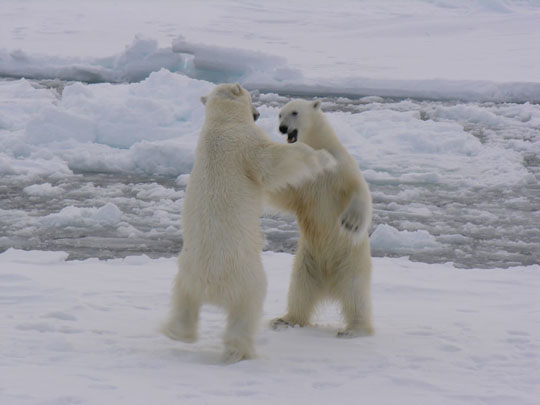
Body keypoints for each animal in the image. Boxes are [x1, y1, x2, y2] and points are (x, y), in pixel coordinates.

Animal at [161, 83, 338, 362]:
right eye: (251, 98)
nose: (257, 113)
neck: (221, 124)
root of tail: (211, 286)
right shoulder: (245, 143)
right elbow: (273, 161)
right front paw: (324, 158)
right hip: (247, 276)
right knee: (247, 307)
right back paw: (239, 350)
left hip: (186, 276)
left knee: (183, 301)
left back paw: (177, 332)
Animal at [268, 98, 374, 338]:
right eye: (280, 114)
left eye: (294, 112)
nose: (282, 128)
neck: (318, 148)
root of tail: (329, 285)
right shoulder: (303, 179)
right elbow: (285, 193)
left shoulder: (340, 165)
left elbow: (359, 189)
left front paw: (351, 222)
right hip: (307, 261)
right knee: (300, 290)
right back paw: (284, 320)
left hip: (351, 261)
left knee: (355, 293)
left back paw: (354, 329)